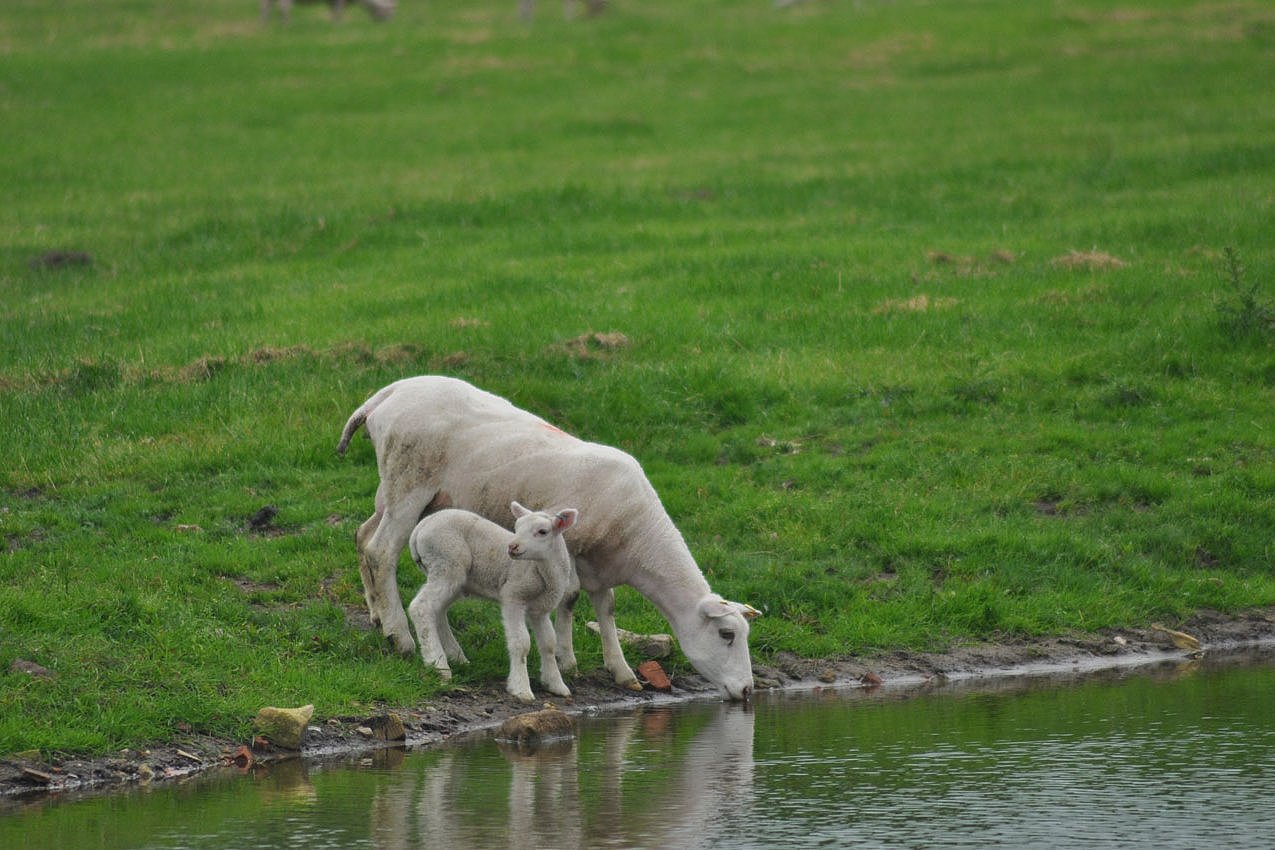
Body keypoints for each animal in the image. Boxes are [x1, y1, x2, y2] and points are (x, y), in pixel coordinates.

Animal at [408, 502, 578, 703]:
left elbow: (549, 644)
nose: (512, 546)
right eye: (516, 527)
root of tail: (421, 527)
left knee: (438, 611)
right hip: (446, 561)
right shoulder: (513, 596)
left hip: (452, 575)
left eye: (542, 532)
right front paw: (521, 688)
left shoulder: (540, 610)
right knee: (421, 607)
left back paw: (456, 657)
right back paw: (439, 665)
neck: (543, 570)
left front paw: (556, 684)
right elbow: (521, 643)